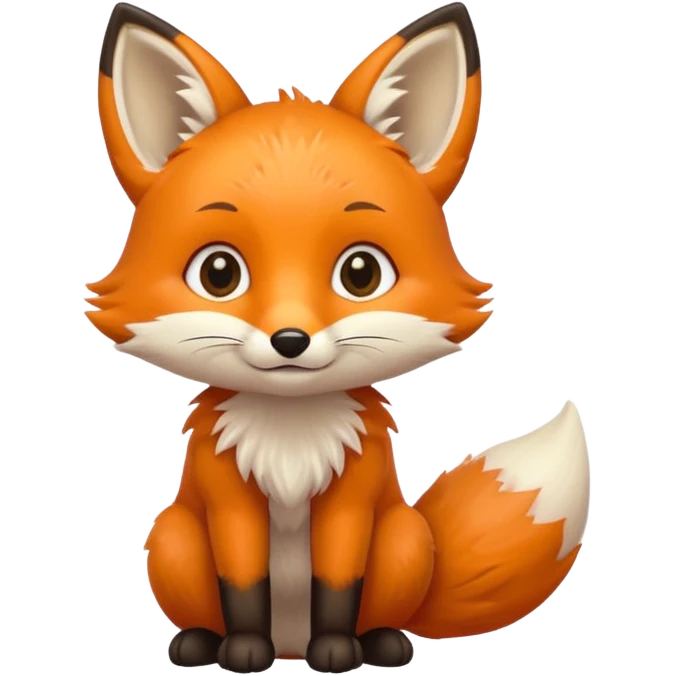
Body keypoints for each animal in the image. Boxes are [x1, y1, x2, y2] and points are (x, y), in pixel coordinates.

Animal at [86, 1, 592, 673]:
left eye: (361, 273)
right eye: (219, 273)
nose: (290, 339)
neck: (291, 436)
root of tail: (289, 643)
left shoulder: (352, 498)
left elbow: (337, 581)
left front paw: (335, 649)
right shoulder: (229, 499)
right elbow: (243, 584)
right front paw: (244, 650)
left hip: (405, 538)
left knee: (382, 606)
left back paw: (379, 642)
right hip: (172, 537)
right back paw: (200, 642)